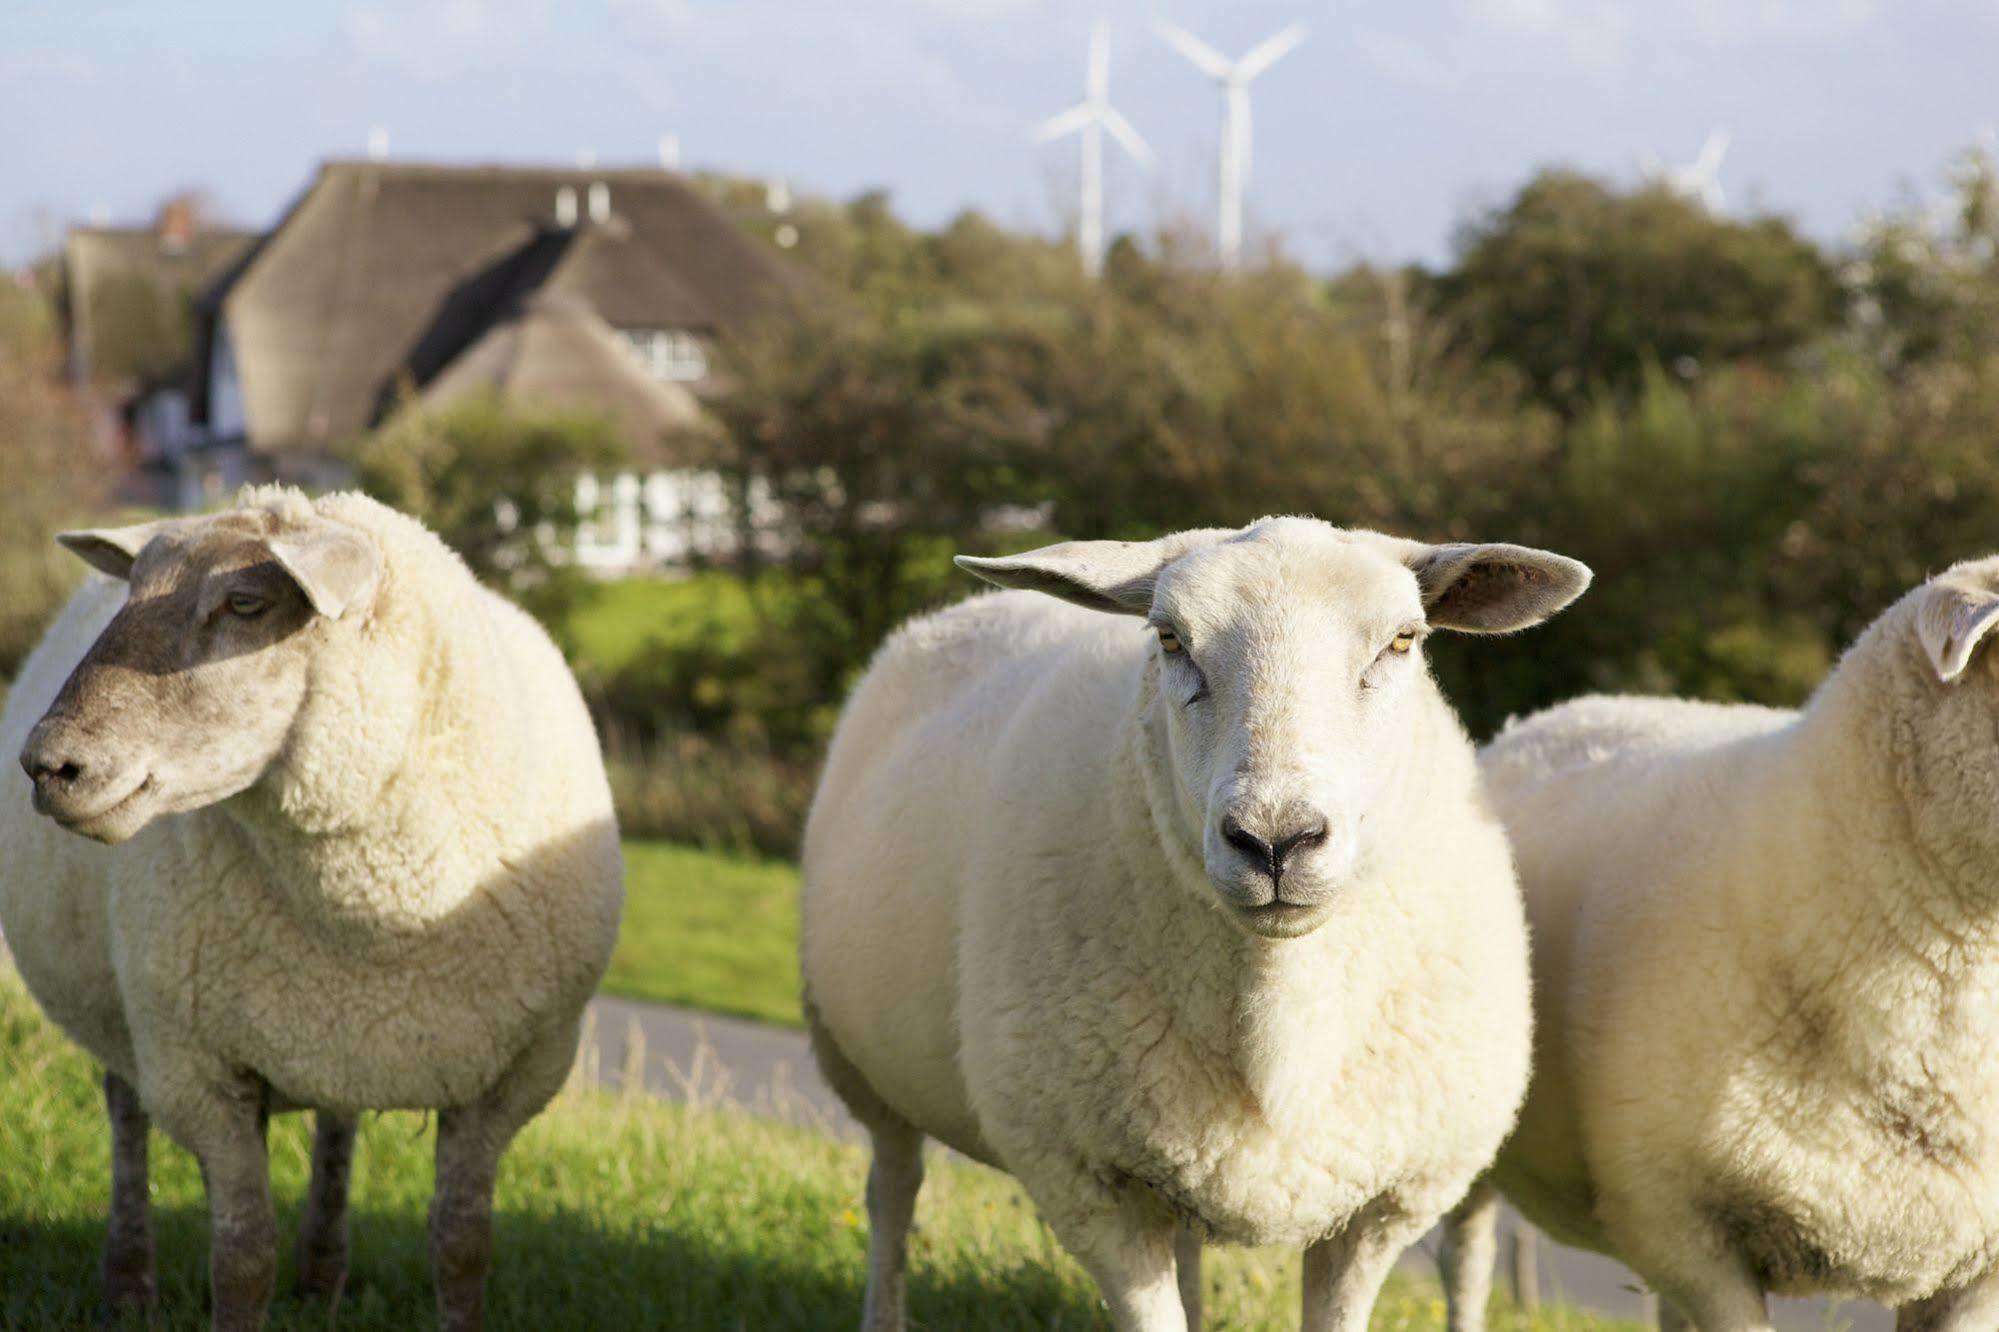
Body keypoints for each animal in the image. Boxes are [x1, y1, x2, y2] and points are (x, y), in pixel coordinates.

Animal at [0, 488, 619, 1328]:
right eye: (131, 595)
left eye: (245, 602)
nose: (47, 764)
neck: (376, 920)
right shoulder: (199, 1073)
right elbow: (242, 1257)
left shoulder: (512, 1076)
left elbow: (462, 1247)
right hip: (119, 1006)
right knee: (126, 1115)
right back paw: (129, 1287)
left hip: (331, 1036)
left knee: (337, 1120)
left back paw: (322, 1275)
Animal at [795, 520, 1591, 1328]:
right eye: (1171, 639)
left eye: (1402, 640)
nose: (1275, 840)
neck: (1282, 1017)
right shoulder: (1089, 1185)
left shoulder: (1383, 1206)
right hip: (855, 1055)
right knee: (893, 1188)